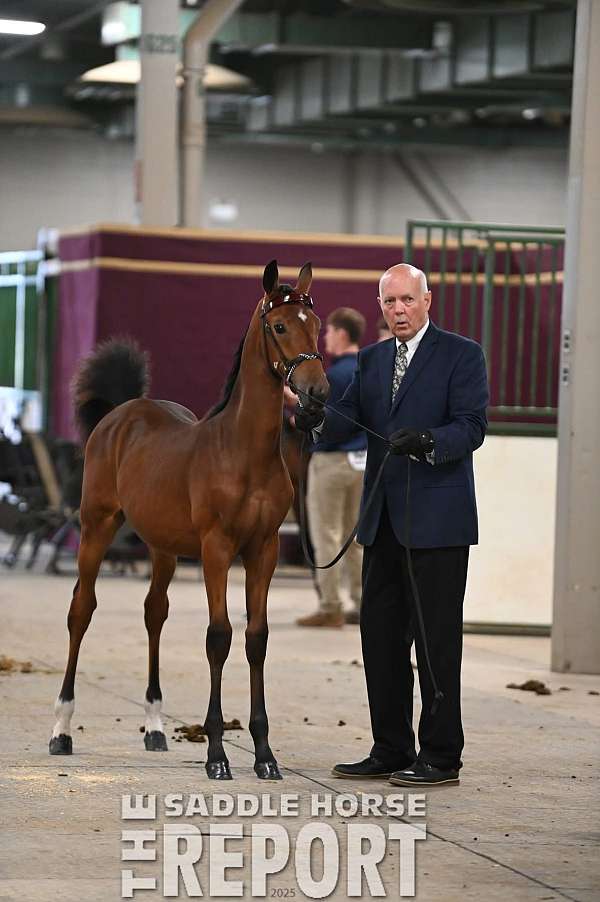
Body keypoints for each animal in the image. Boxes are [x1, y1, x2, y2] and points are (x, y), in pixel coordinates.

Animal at [49, 260, 329, 780]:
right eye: (280, 326)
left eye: (317, 326)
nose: (318, 393)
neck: (244, 452)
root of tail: (122, 412)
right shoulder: (216, 549)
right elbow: (219, 637)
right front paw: (217, 754)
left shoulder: (263, 549)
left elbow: (256, 638)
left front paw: (265, 755)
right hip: (97, 527)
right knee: (81, 609)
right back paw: (61, 730)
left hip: (162, 547)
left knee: (154, 612)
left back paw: (156, 727)